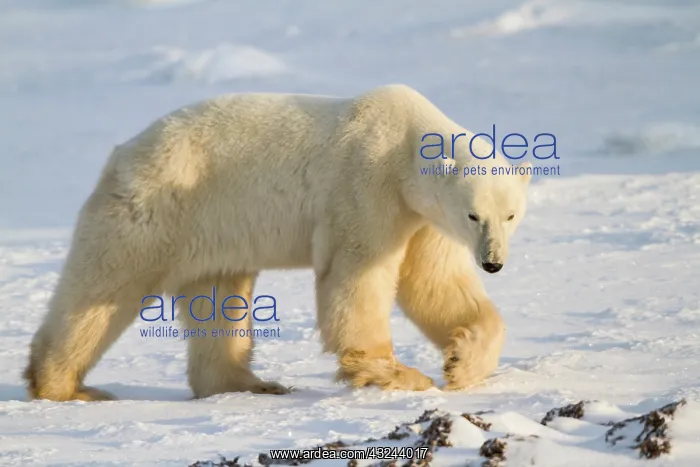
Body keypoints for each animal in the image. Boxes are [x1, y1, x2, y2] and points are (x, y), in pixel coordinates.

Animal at [23, 84, 531, 401]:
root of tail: (122, 154)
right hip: (156, 210)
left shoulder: (422, 218)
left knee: (218, 301)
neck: (405, 142)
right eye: (474, 214)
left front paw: (462, 362)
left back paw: (250, 384)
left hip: (214, 233)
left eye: (511, 214)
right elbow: (356, 274)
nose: (493, 263)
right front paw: (396, 374)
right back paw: (66, 386)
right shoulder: (365, 182)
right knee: (100, 292)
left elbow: (434, 284)